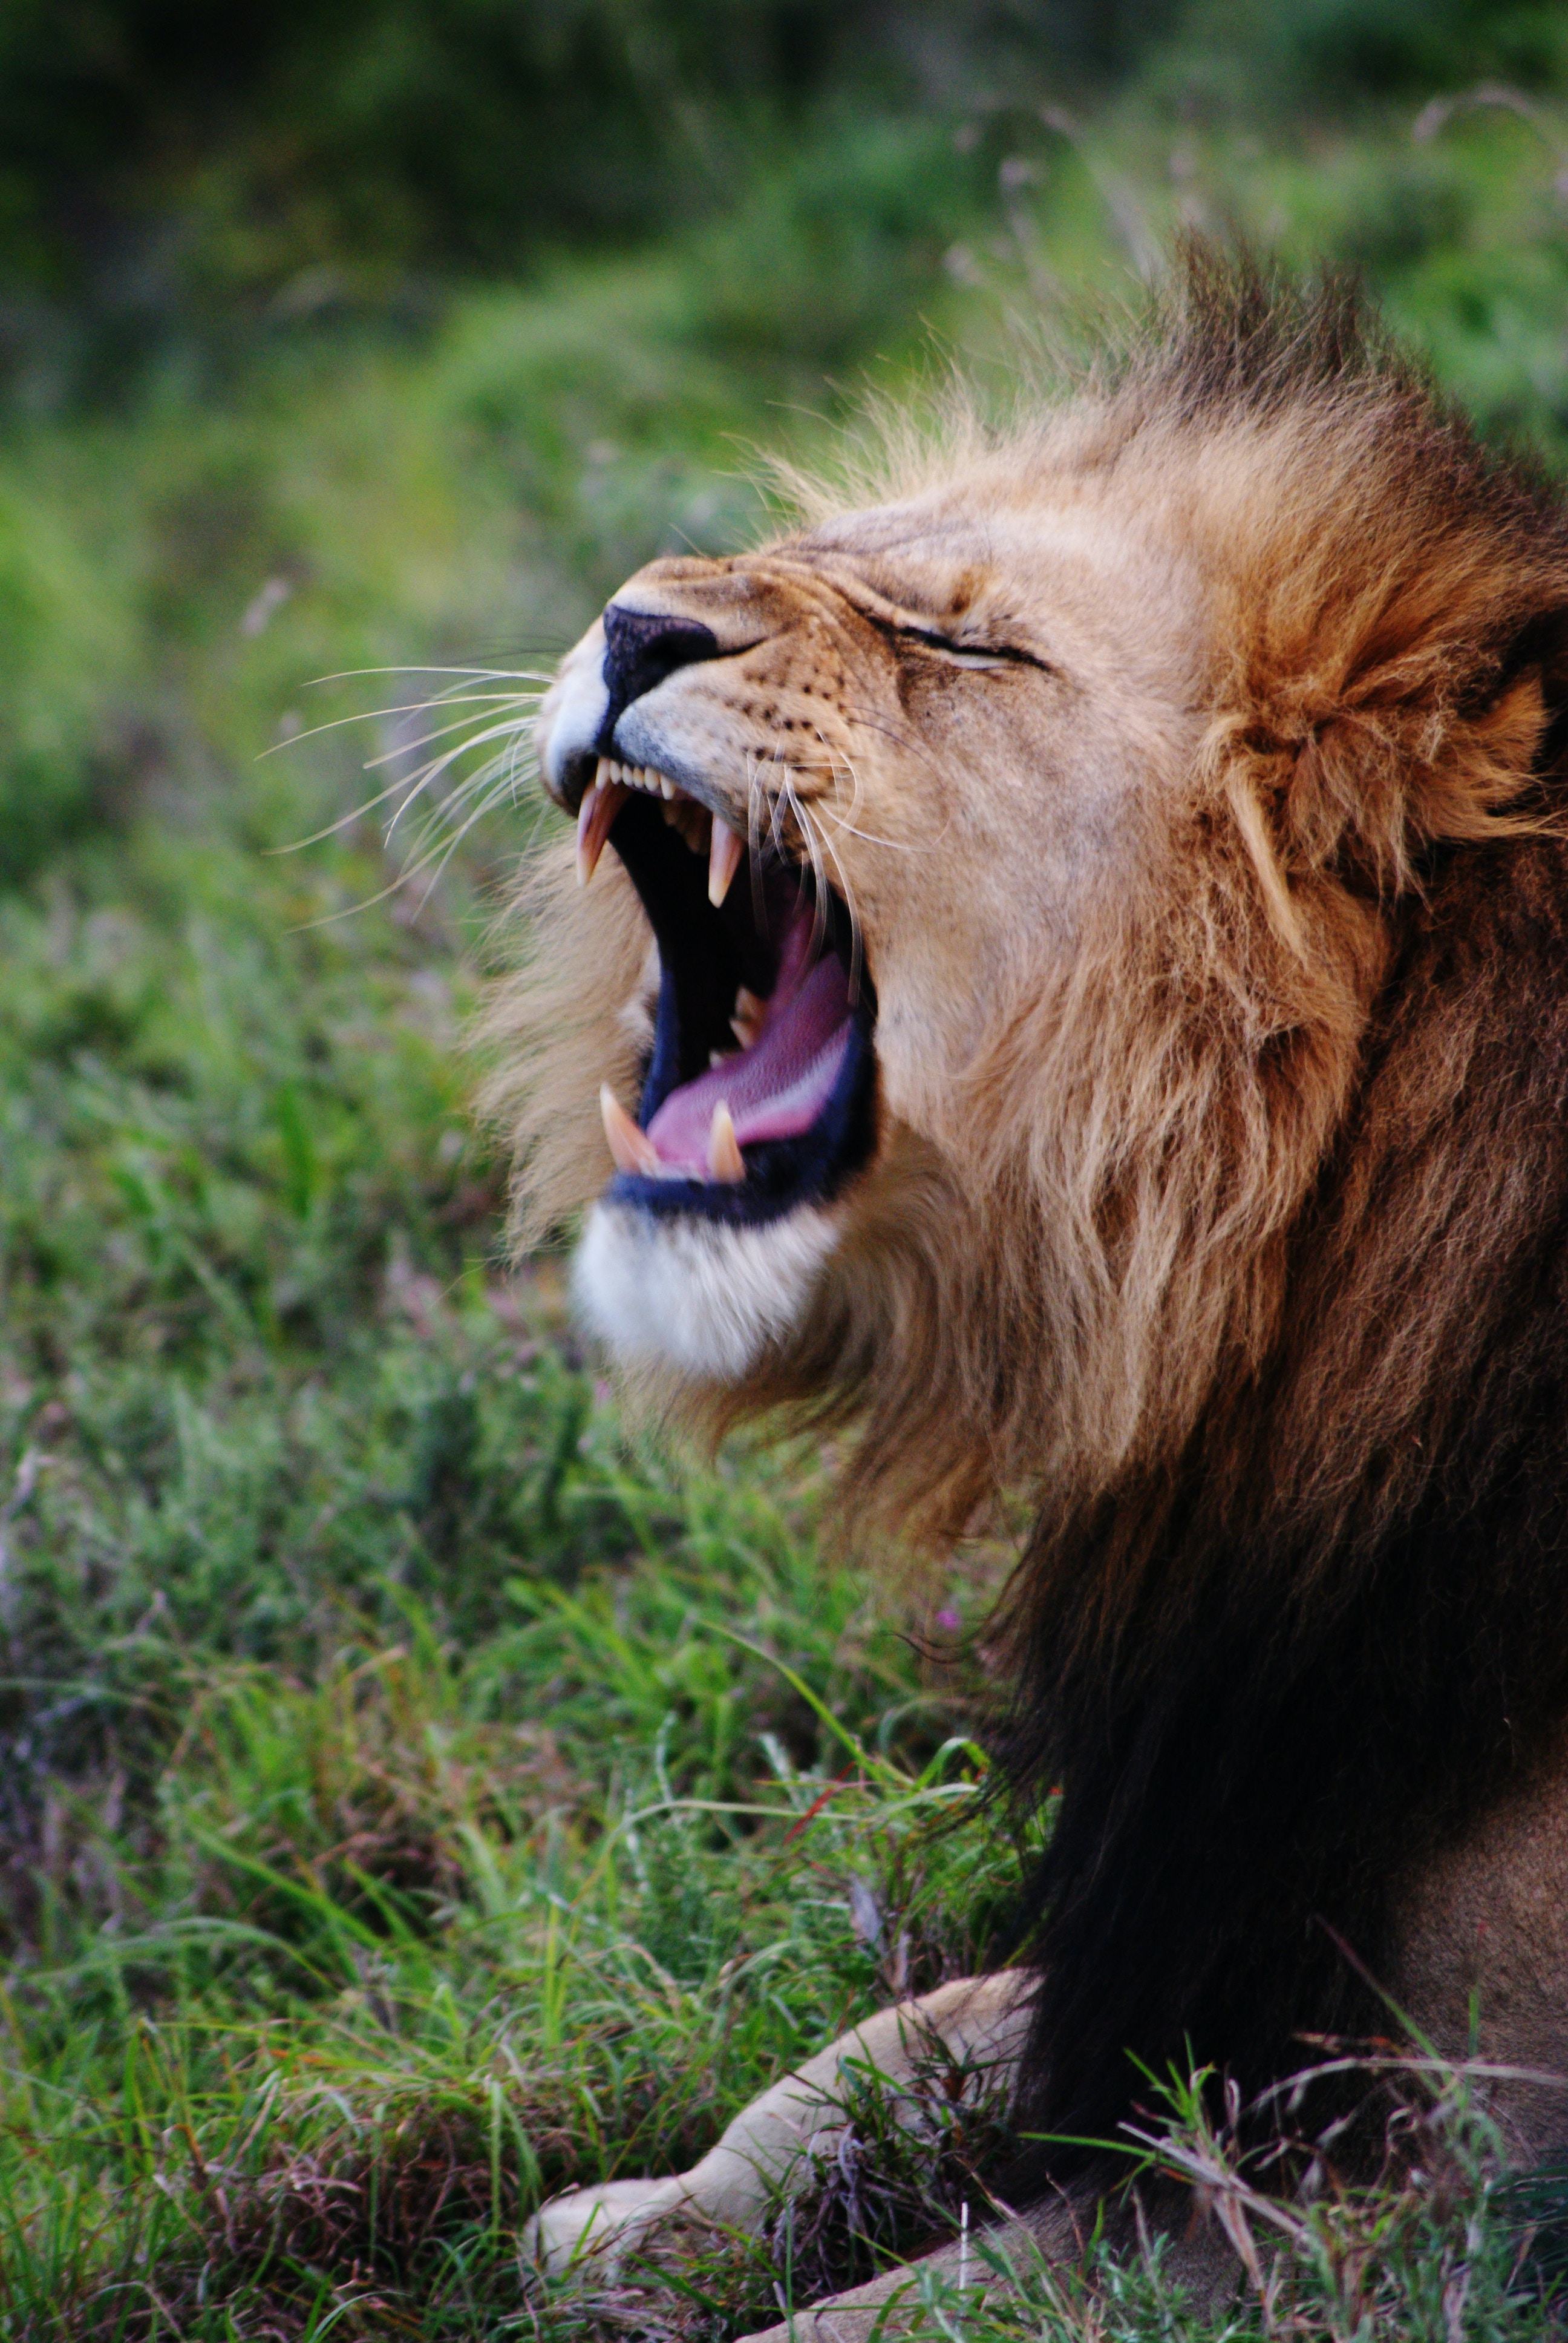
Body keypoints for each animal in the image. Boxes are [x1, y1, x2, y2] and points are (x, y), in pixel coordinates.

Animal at [483, 257, 1568, 2336]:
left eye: (961, 645)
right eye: (807, 562)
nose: (630, 623)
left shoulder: (1429, 2181)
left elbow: (924, 2302)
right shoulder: (1201, 1898)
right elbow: (886, 2040)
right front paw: (626, 2224)